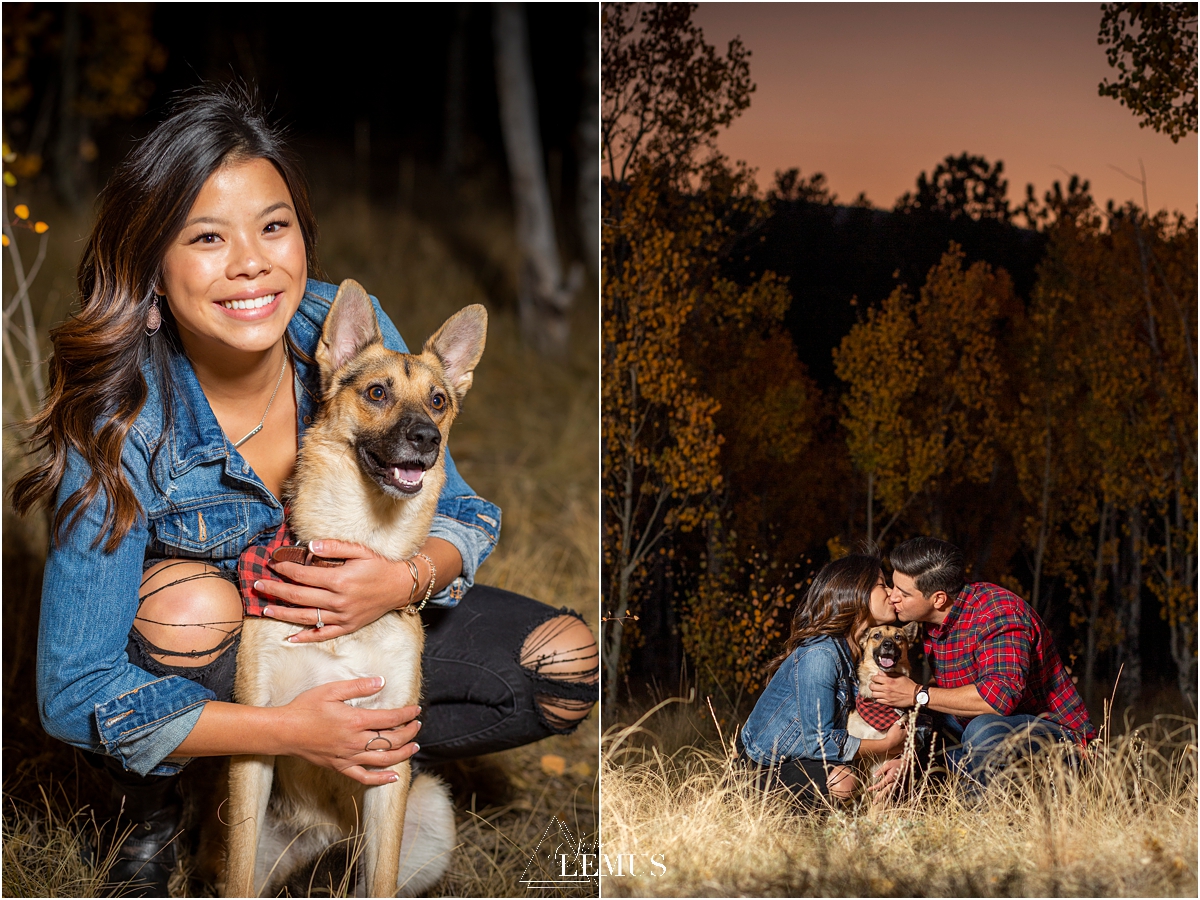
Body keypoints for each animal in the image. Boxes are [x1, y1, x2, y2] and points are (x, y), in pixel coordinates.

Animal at [223, 278, 484, 897]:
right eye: (377, 392)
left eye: (438, 401)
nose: (427, 438)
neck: (358, 537)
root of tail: (320, 841)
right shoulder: (253, 745)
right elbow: (237, 875)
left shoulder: (389, 753)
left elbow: (382, 880)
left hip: (429, 807)